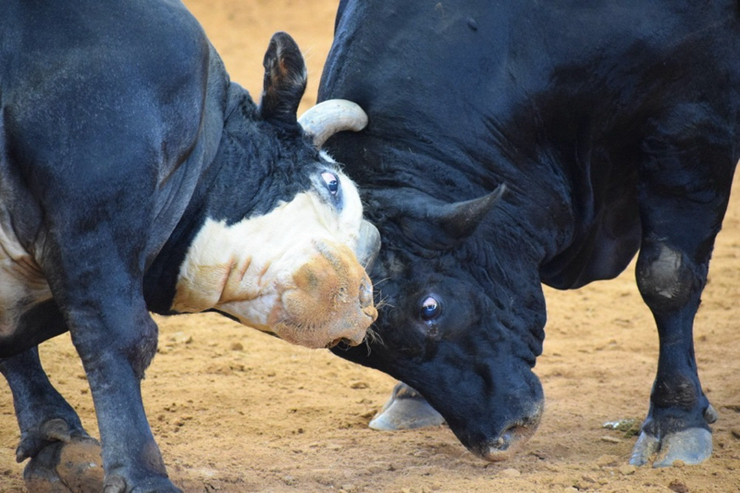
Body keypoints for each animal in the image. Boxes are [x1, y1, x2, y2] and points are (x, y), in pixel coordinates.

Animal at [0, 0, 378, 492]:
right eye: (332, 184)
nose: (367, 302)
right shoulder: (92, 206)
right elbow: (120, 337)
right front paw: (143, 475)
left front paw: (54, 442)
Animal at [320, 0, 740, 468]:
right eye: (352, 347)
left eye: (429, 307)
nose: (499, 437)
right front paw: (412, 398)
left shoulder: (691, 131)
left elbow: (667, 279)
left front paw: (677, 420)